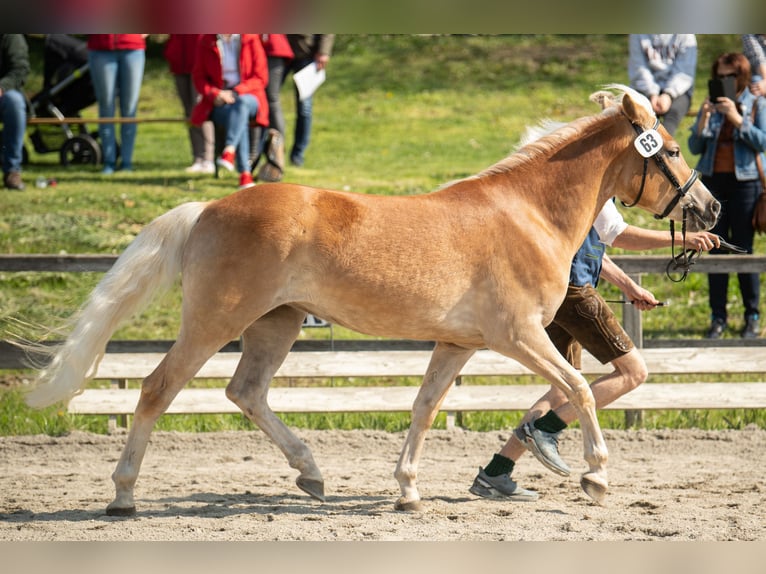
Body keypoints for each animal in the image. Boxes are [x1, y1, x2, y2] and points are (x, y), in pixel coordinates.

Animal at [22, 85, 720, 516]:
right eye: (672, 149)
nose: (711, 209)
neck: (527, 214)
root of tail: (211, 208)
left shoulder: (457, 343)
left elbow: (424, 408)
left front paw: (407, 491)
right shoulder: (517, 336)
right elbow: (576, 388)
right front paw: (597, 475)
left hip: (274, 326)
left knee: (245, 392)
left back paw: (311, 473)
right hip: (215, 321)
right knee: (156, 390)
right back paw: (123, 496)